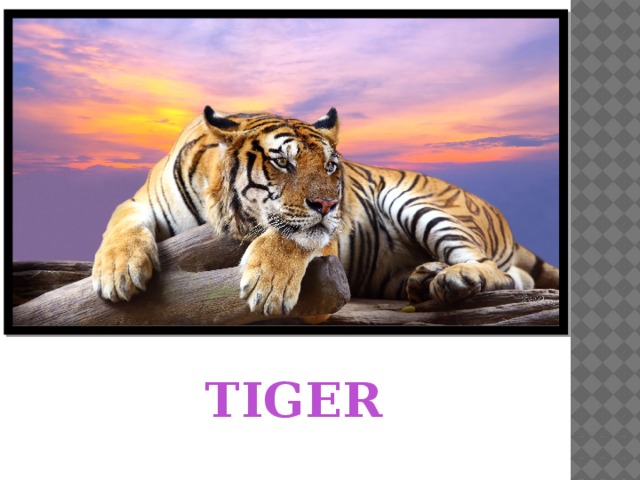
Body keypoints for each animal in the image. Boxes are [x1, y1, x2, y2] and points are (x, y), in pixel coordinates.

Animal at [92, 105, 559, 319]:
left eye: (332, 165)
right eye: (283, 161)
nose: (330, 203)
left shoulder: (321, 234)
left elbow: (291, 235)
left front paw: (268, 286)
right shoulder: (139, 202)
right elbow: (120, 225)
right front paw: (118, 273)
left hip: (420, 203)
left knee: (498, 271)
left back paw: (453, 279)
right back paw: (425, 278)